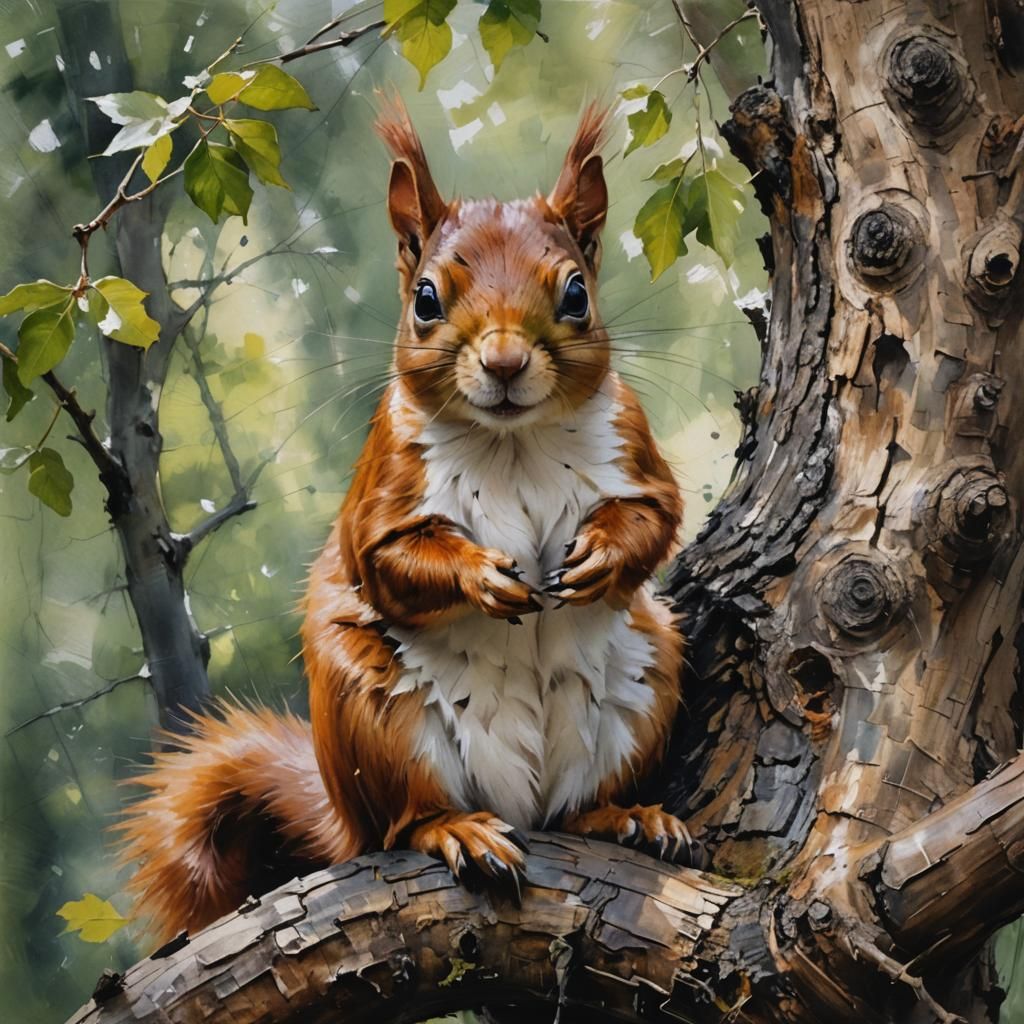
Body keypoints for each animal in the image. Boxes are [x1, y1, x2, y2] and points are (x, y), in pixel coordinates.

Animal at [118, 100, 695, 941]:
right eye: (425, 299)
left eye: (576, 295)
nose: (504, 363)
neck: (511, 443)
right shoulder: (382, 488)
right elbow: (387, 561)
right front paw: (483, 577)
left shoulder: (634, 445)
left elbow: (656, 512)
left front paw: (600, 557)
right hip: (377, 720)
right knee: (401, 822)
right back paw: (457, 829)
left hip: (647, 679)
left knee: (571, 810)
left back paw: (622, 817)